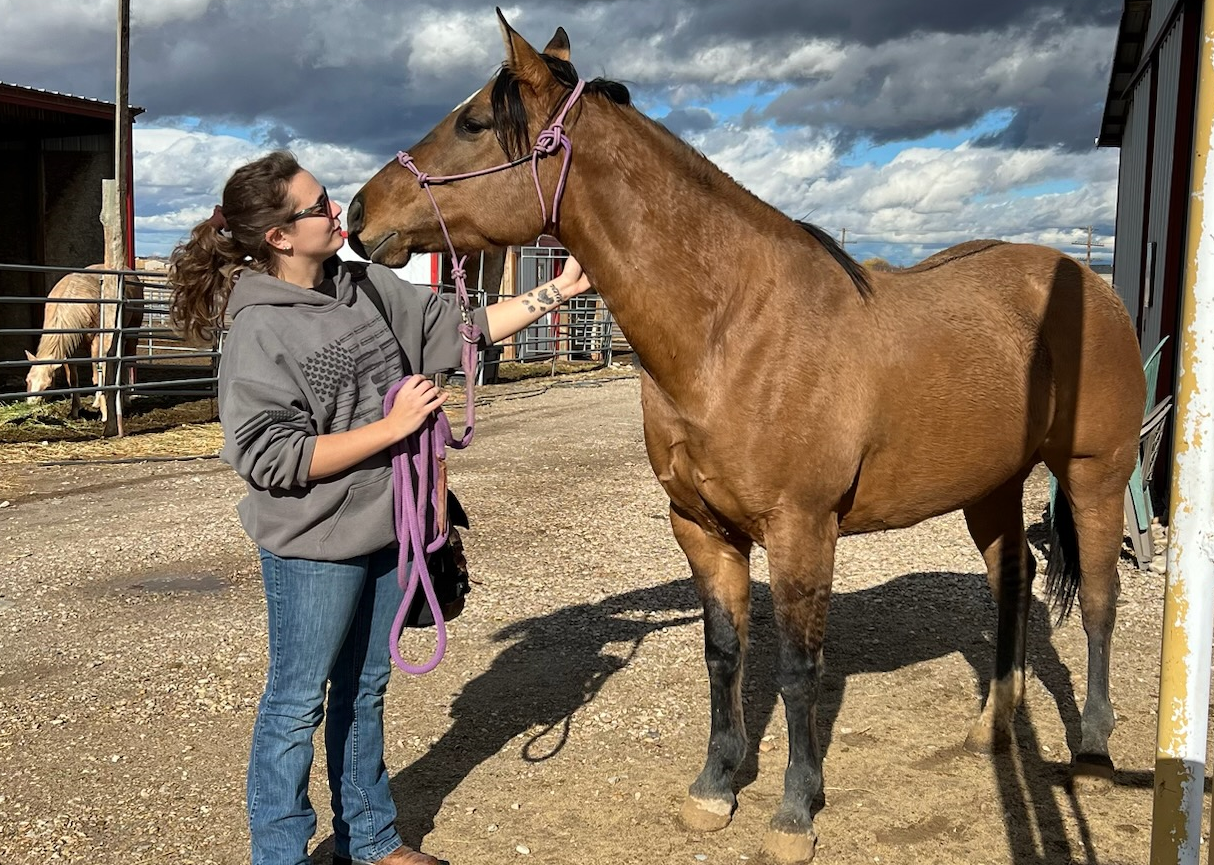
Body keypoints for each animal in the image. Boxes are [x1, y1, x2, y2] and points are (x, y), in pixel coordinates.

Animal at [349, 15, 1146, 863]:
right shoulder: (702, 528)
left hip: (1094, 475)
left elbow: (798, 667)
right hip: (990, 486)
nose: (357, 215)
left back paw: (1094, 743)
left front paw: (795, 810)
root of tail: (1088, 284)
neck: (732, 329)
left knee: (1099, 597)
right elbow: (723, 653)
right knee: (1013, 582)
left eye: (472, 123)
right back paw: (994, 725)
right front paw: (714, 785)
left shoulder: (802, 530)